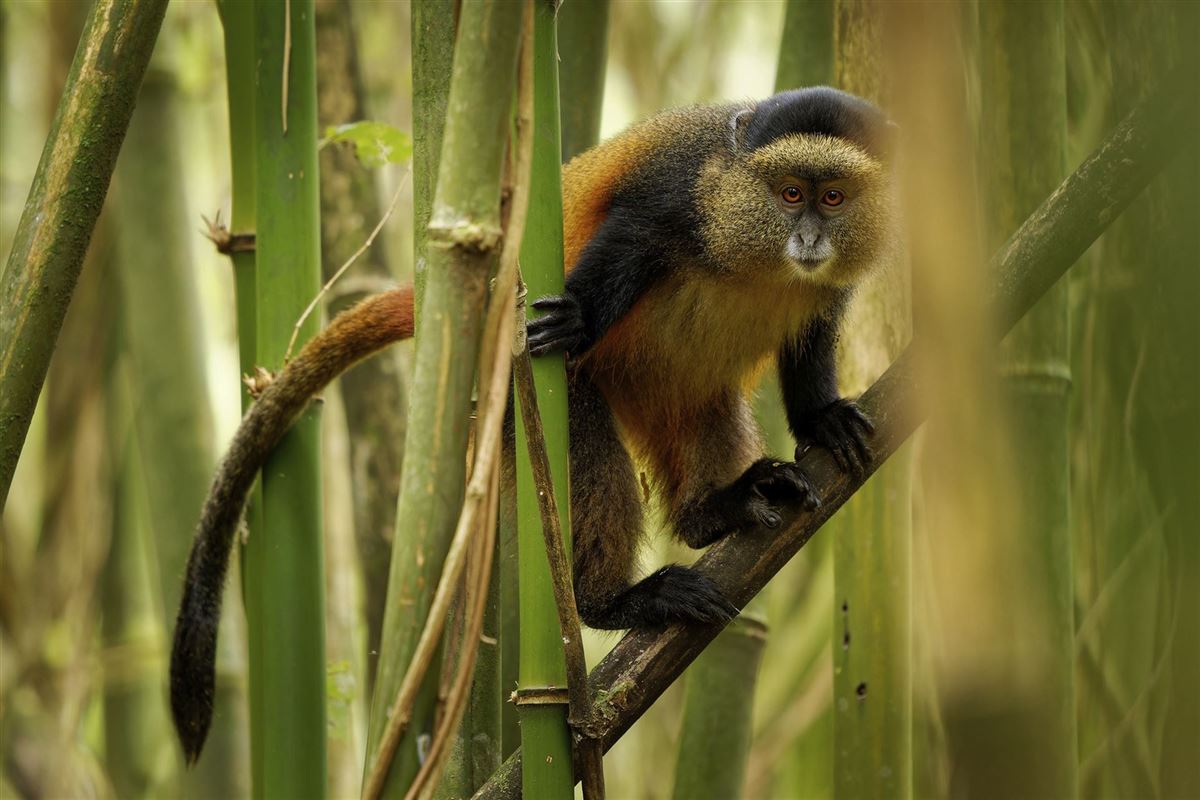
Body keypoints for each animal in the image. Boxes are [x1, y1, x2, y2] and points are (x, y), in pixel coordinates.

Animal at [170, 86, 896, 762]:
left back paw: (720, 508)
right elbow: (633, 233)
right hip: (527, 394)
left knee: (701, 419)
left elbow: (816, 329)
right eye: (790, 193)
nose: (809, 240)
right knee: (584, 444)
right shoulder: (682, 189)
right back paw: (612, 600)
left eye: (833, 198)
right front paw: (577, 315)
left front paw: (822, 420)